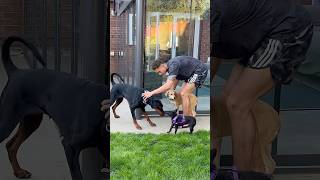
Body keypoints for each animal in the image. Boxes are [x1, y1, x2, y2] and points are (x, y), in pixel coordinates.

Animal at [0, 35, 109, 179]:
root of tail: (15, 72)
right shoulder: (70, 147)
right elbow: (77, 175)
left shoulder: (103, 147)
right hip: (7, 120)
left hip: (31, 121)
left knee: (10, 145)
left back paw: (19, 172)